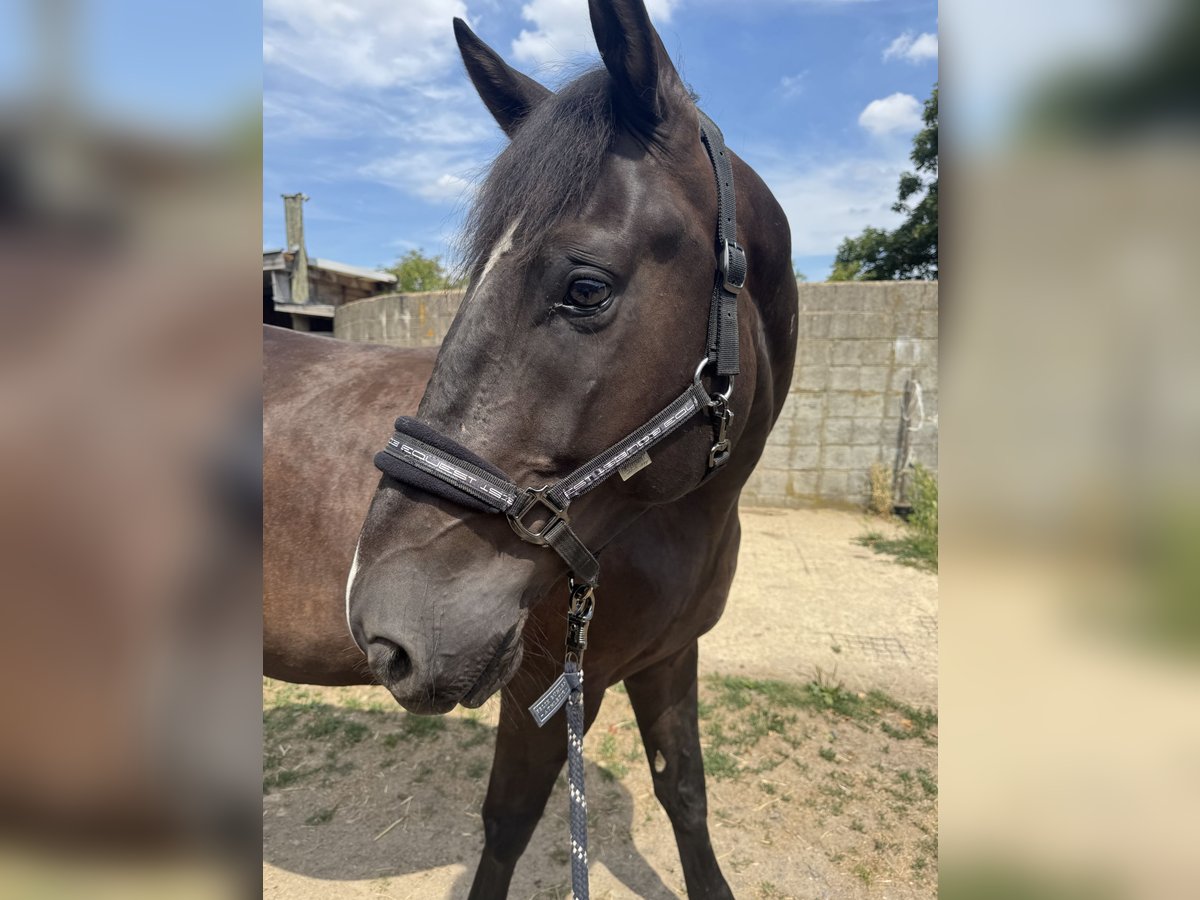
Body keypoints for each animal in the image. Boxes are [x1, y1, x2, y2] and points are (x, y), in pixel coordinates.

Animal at [267, 1, 797, 896]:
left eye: (586, 287)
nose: (383, 627)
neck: (675, 525)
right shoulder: (543, 692)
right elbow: (508, 826)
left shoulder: (670, 658)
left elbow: (685, 792)